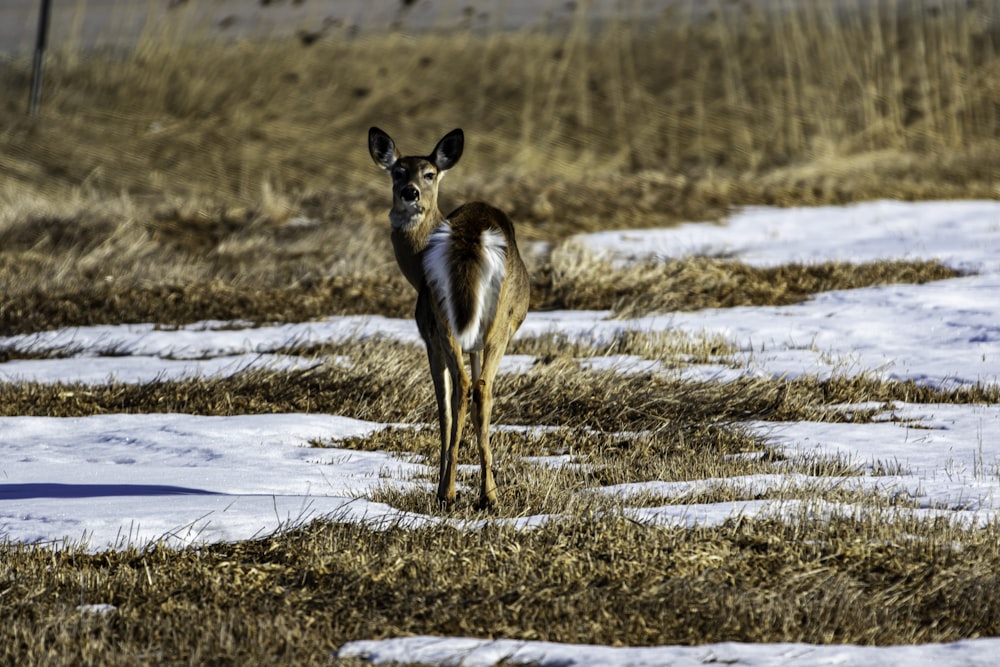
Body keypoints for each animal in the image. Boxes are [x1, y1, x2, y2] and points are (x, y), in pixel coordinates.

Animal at [370, 128, 532, 508]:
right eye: (397, 171)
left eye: (429, 174)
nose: (410, 192)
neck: (415, 270)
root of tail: (470, 237)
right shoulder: (461, 340)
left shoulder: (433, 334)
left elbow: (445, 408)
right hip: (490, 325)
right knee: (477, 388)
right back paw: (480, 494)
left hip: (448, 321)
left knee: (465, 389)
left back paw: (456, 492)